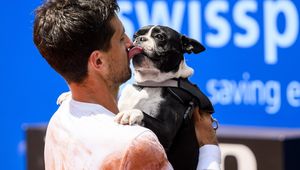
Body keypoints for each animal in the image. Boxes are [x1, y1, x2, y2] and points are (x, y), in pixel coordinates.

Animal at [117, 24, 216, 169]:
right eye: (135, 35)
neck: (148, 84)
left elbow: (142, 113)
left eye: (160, 37)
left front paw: (131, 113)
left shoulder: (167, 131)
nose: (140, 39)